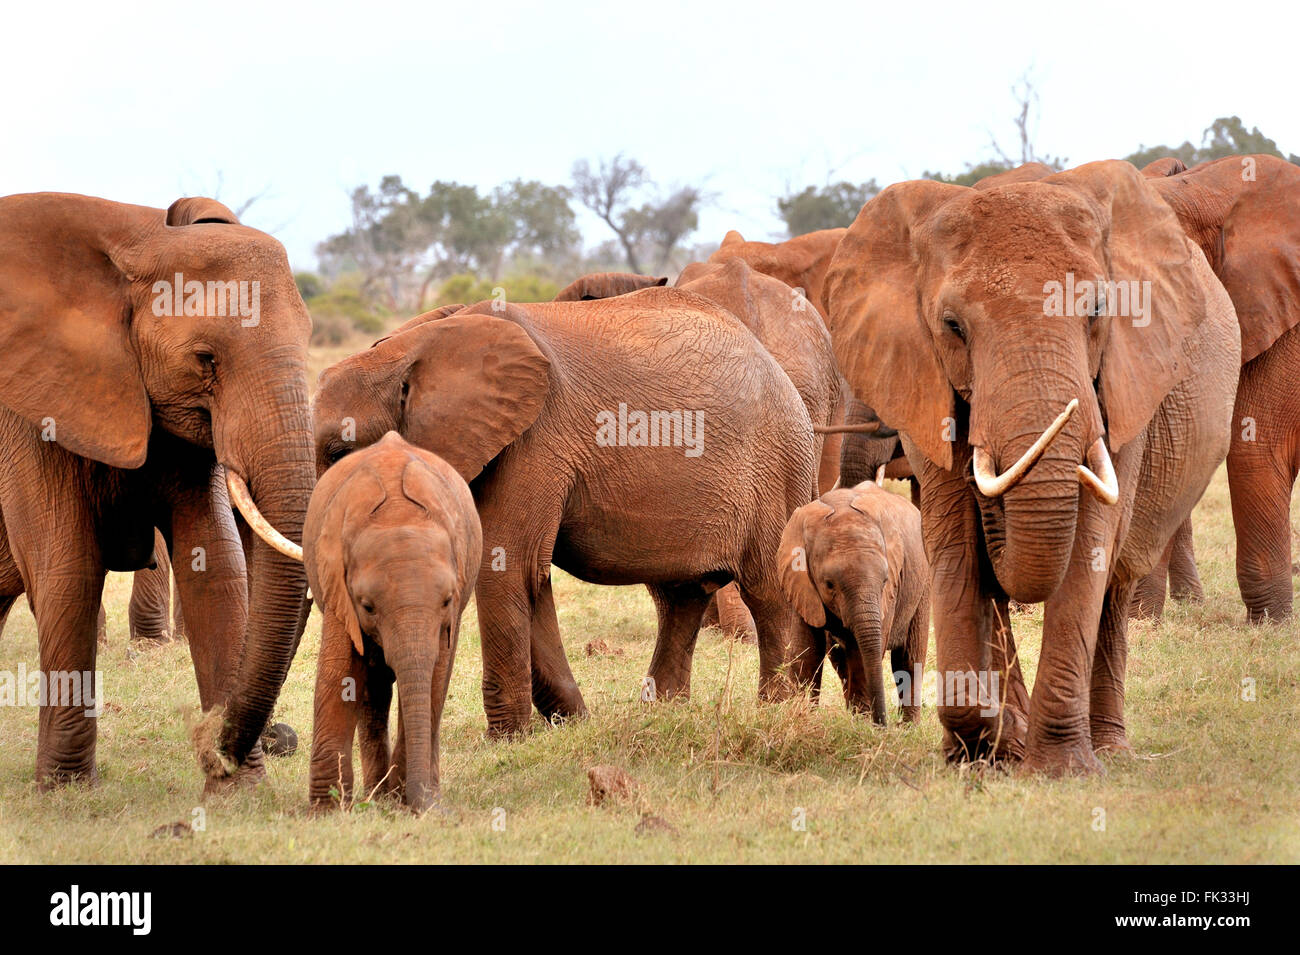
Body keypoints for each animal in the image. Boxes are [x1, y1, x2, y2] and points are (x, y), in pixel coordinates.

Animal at [0, 191, 313, 789]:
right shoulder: (28, 408)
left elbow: (214, 561)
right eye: (206, 359)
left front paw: (238, 790)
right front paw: (66, 789)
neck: (137, 244)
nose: (213, 744)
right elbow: (68, 567)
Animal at [304, 433, 483, 815]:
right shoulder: (337, 582)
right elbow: (339, 671)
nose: (429, 808)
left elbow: (434, 677)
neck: (398, 513)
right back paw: (376, 795)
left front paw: (410, 800)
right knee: (372, 686)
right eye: (368, 606)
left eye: (447, 601)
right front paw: (325, 812)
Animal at [312, 287, 811, 738]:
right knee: (679, 597)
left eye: (339, 453)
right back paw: (664, 712)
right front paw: (571, 723)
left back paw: (776, 710)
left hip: (778, 469)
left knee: (767, 592)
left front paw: (510, 739)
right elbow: (529, 576)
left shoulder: (533, 439)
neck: (410, 348)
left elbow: (508, 566)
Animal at [774, 480, 930, 722]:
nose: (882, 725)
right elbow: (807, 649)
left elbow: (861, 654)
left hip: (922, 587)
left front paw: (861, 725)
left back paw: (907, 727)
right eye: (829, 585)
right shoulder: (801, 585)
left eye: (885, 581)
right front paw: (799, 715)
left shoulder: (891, 593)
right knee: (840, 659)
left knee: (908, 661)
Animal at [821, 162, 1237, 779]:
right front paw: (982, 751)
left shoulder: (1123, 383)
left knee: (1115, 585)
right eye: (952, 326)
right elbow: (955, 545)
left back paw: (1106, 748)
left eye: (1097, 312)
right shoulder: (926, 384)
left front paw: (1059, 769)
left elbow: (1090, 543)